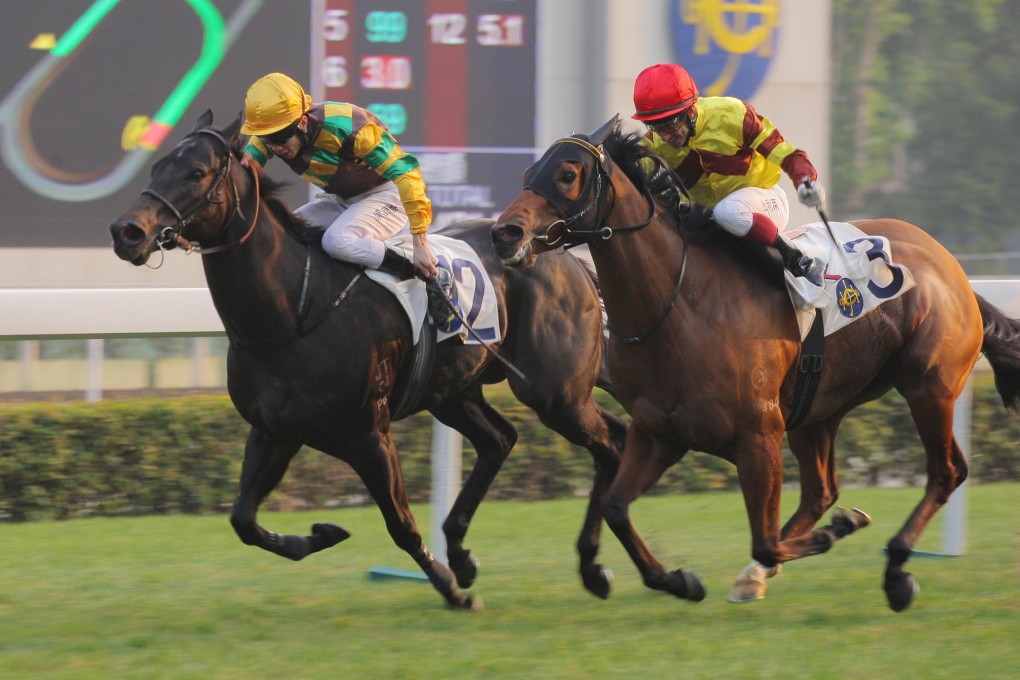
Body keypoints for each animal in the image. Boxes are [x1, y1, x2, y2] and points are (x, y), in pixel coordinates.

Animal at [105, 111, 628, 611]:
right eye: (156, 166)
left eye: (196, 172)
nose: (126, 231)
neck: (293, 307)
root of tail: (560, 252)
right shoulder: (273, 429)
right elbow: (243, 520)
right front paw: (321, 534)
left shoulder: (367, 433)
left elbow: (401, 524)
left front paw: (450, 590)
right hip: (455, 391)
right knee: (505, 439)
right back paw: (464, 553)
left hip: (554, 392)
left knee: (608, 444)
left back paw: (592, 568)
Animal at [491, 115, 1020, 611]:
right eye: (528, 172)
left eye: (567, 174)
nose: (504, 233)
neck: (678, 303)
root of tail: (951, 265)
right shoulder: (660, 432)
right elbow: (618, 508)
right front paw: (678, 580)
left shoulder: (758, 435)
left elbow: (764, 541)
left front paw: (835, 533)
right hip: (820, 408)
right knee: (821, 490)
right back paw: (774, 566)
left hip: (929, 386)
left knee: (946, 472)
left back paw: (894, 570)